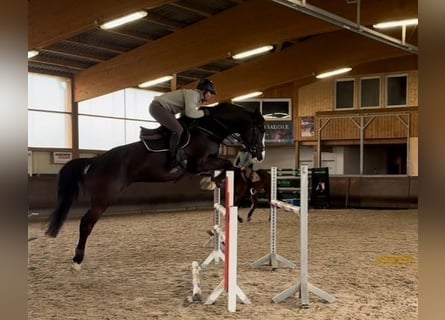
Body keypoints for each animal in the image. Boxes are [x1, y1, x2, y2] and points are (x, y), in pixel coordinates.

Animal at [45, 101, 264, 268]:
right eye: (257, 129)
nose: (260, 154)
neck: (209, 129)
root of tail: (96, 161)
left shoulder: (204, 164)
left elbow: (227, 166)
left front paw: (215, 181)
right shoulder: (198, 163)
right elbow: (229, 165)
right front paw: (220, 182)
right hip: (102, 199)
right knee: (86, 223)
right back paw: (77, 260)